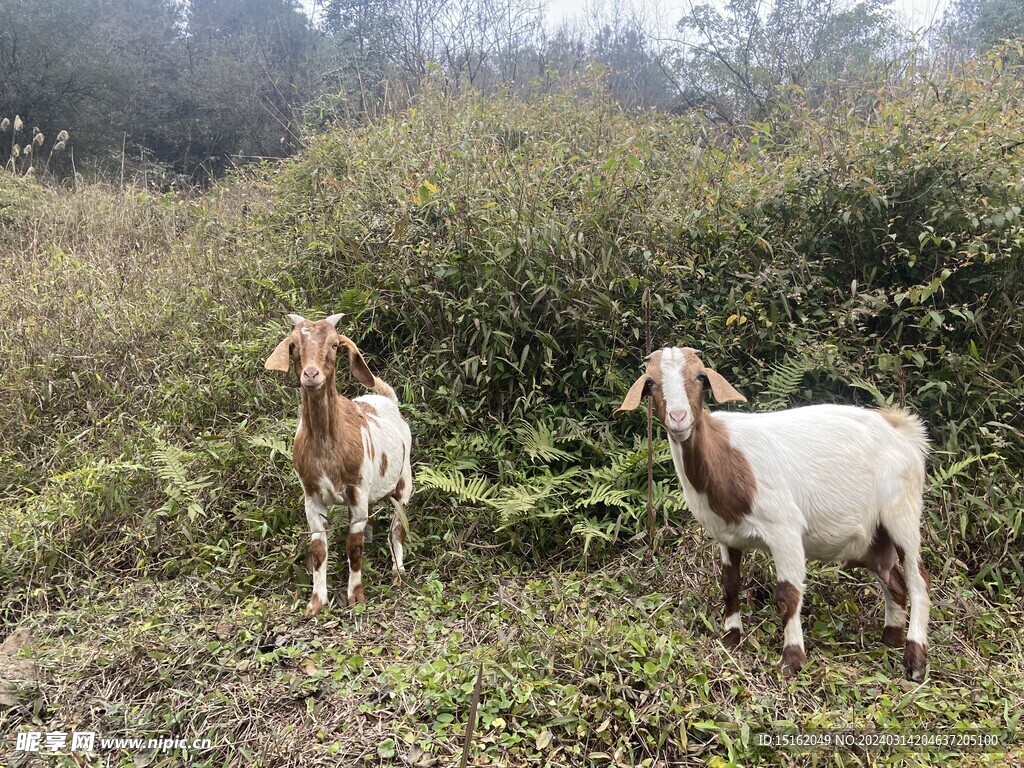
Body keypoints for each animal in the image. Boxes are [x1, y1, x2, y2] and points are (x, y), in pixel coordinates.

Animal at [264, 313, 411, 618]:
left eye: (334, 344)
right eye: (293, 345)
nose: (311, 375)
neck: (327, 445)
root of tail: (387, 401)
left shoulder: (357, 491)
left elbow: (354, 547)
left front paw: (356, 597)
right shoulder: (311, 496)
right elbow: (319, 549)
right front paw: (316, 602)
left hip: (404, 481)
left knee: (397, 527)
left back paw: (398, 573)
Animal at [610, 348, 933, 679]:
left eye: (700, 377)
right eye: (650, 383)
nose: (678, 418)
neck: (725, 456)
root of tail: (904, 431)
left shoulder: (785, 529)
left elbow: (788, 594)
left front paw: (792, 660)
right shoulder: (726, 535)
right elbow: (730, 584)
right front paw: (731, 638)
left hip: (902, 511)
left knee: (918, 580)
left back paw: (914, 658)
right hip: (871, 537)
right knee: (893, 580)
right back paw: (890, 639)